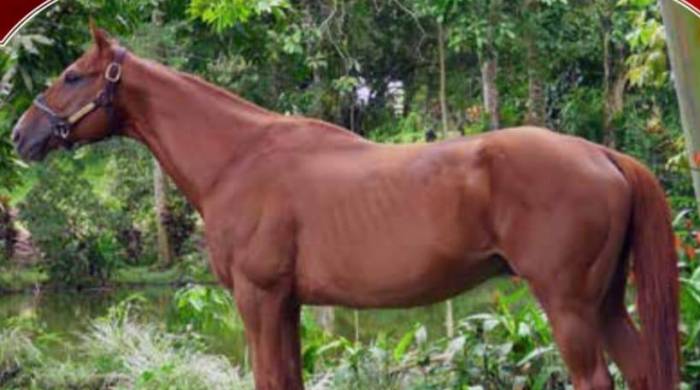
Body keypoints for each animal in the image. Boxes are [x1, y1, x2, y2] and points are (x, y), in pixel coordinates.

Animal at [9, 25, 680, 388]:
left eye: (72, 75)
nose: (20, 135)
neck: (239, 158)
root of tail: (600, 153)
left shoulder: (258, 298)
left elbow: (269, 379)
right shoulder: (285, 303)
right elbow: (289, 379)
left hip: (568, 304)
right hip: (604, 300)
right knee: (642, 370)